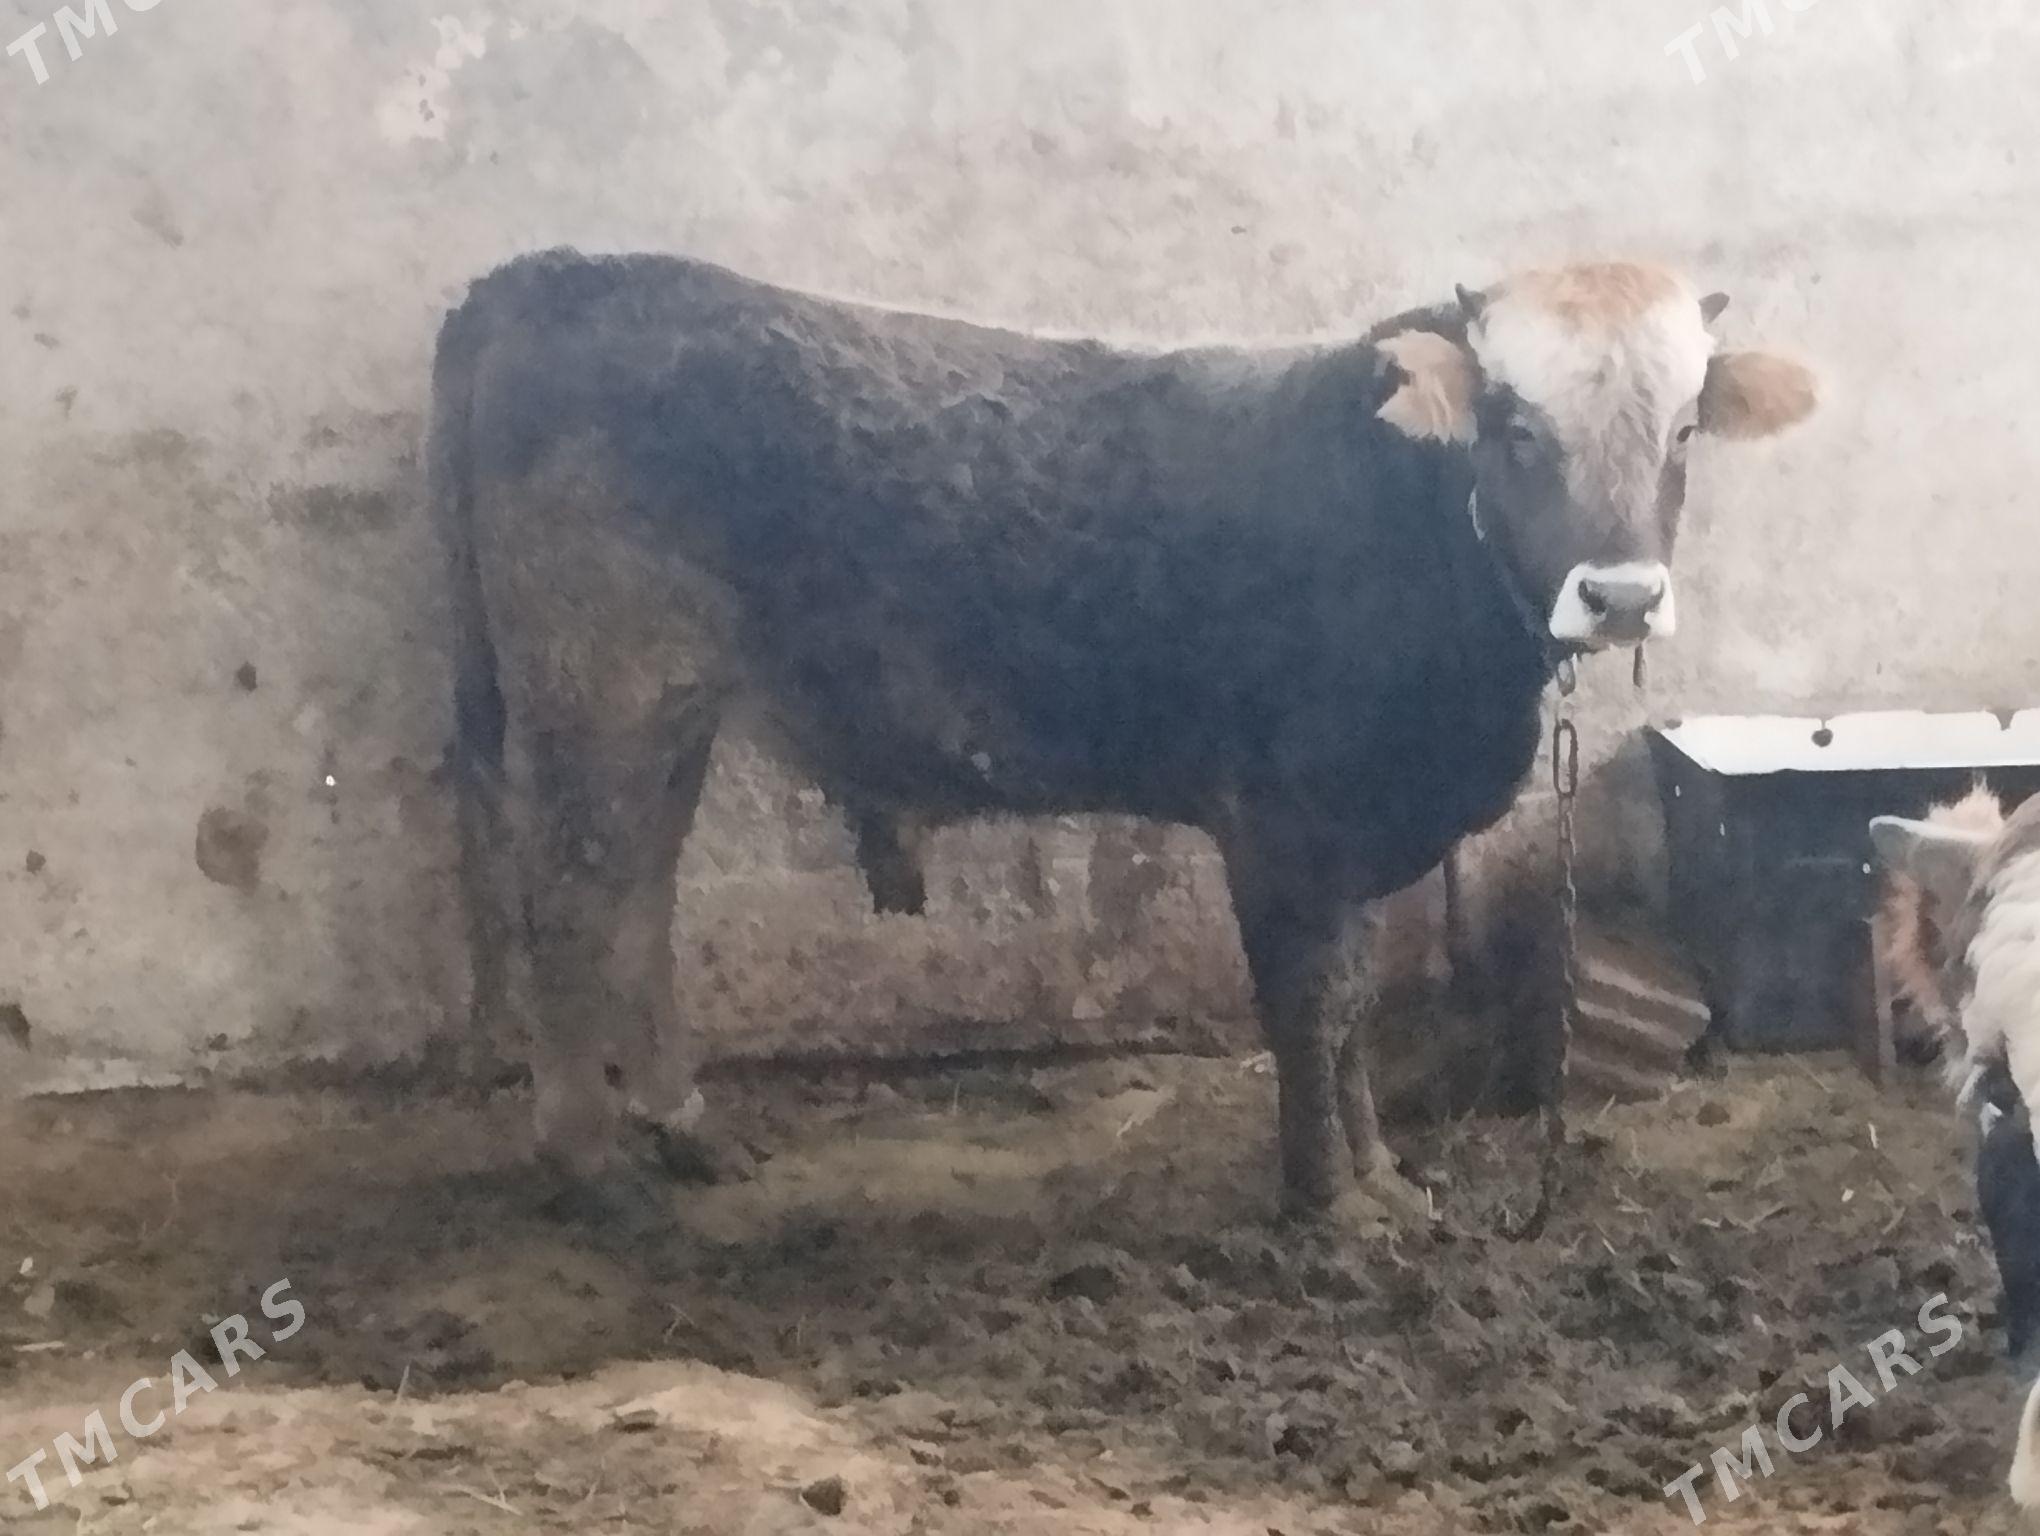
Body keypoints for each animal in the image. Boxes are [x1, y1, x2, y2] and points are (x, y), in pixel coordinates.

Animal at [429, 249, 1818, 1226]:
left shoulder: (1355, 829)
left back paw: (685, 1126)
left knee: (637, 902)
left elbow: (1358, 997)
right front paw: (1330, 1204)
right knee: (574, 906)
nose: (1620, 595)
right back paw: (591, 1165)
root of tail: (554, 274)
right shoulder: (1282, 824)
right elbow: (1311, 1001)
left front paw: (1380, 1173)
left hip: (667, 707)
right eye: (1515, 426)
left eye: (1683, 428)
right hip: (600, 688)